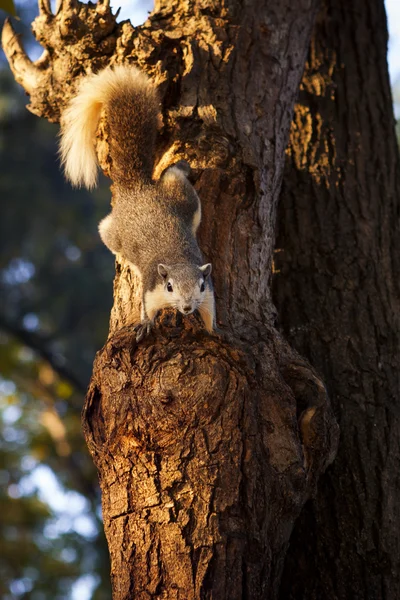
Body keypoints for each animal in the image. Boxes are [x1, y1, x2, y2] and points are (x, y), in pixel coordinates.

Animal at [59, 66, 214, 342]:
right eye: (169, 286)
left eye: (201, 285)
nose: (187, 307)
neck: (178, 259)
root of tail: (137, 188)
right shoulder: (151, 288)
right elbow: (147, 308)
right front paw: (145, 325)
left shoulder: (209, 293)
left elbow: (210, 311)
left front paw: (211, 330)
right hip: (114, 232)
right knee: (106, 231)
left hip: (184, 200)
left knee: (174, 176)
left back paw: (183, 167)